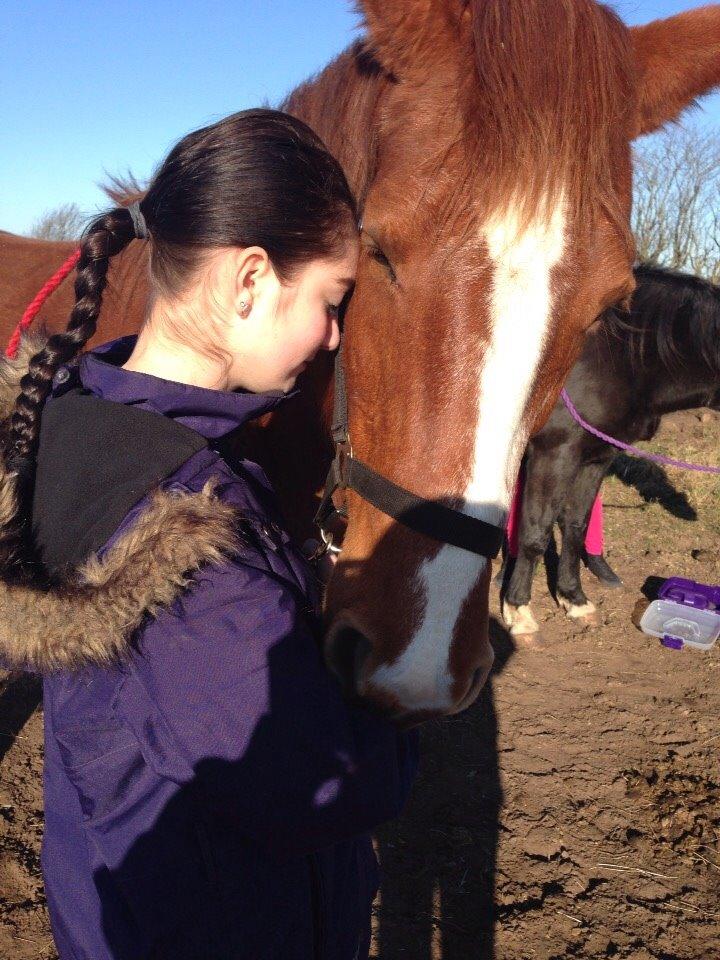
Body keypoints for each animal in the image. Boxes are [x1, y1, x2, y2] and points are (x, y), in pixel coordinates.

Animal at [500, 262, 720, 636]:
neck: (618, 357)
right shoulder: (553, 454)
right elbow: (535, 530)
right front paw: (518, 610)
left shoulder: (595, 458)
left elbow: (575, 524)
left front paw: (573, 599)